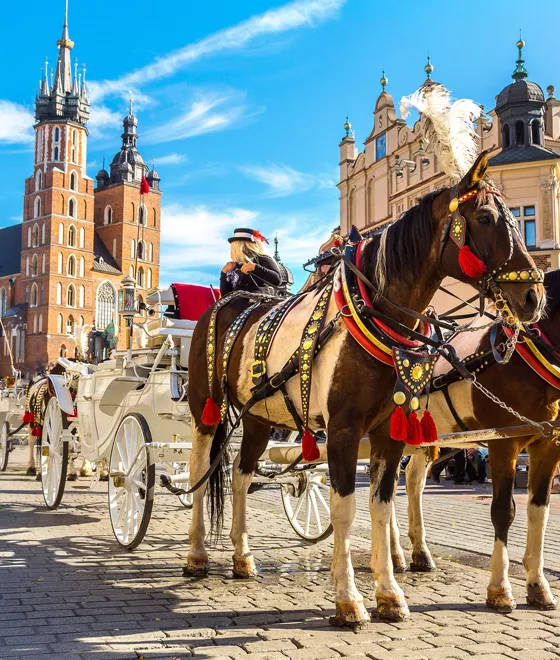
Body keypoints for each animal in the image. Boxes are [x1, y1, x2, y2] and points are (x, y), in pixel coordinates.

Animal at [394, 266, 560, 612]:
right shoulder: (503, 444)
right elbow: (503, 511)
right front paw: (500, 588)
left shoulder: (549, 445)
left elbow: (539, 511)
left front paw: (538, 585)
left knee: (410, 482)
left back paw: (416, 553)